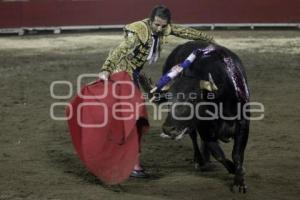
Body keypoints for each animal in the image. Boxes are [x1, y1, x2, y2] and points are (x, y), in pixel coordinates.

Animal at [157, 40, 248, 192]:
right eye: (169, 98)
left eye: (193, 99)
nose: (168, 129)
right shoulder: (204, 130)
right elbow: (219, 155)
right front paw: (232, 169)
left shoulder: (243, 124)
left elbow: (237, 154)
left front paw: (239, 182)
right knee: (193, 137)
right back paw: (199, 160)